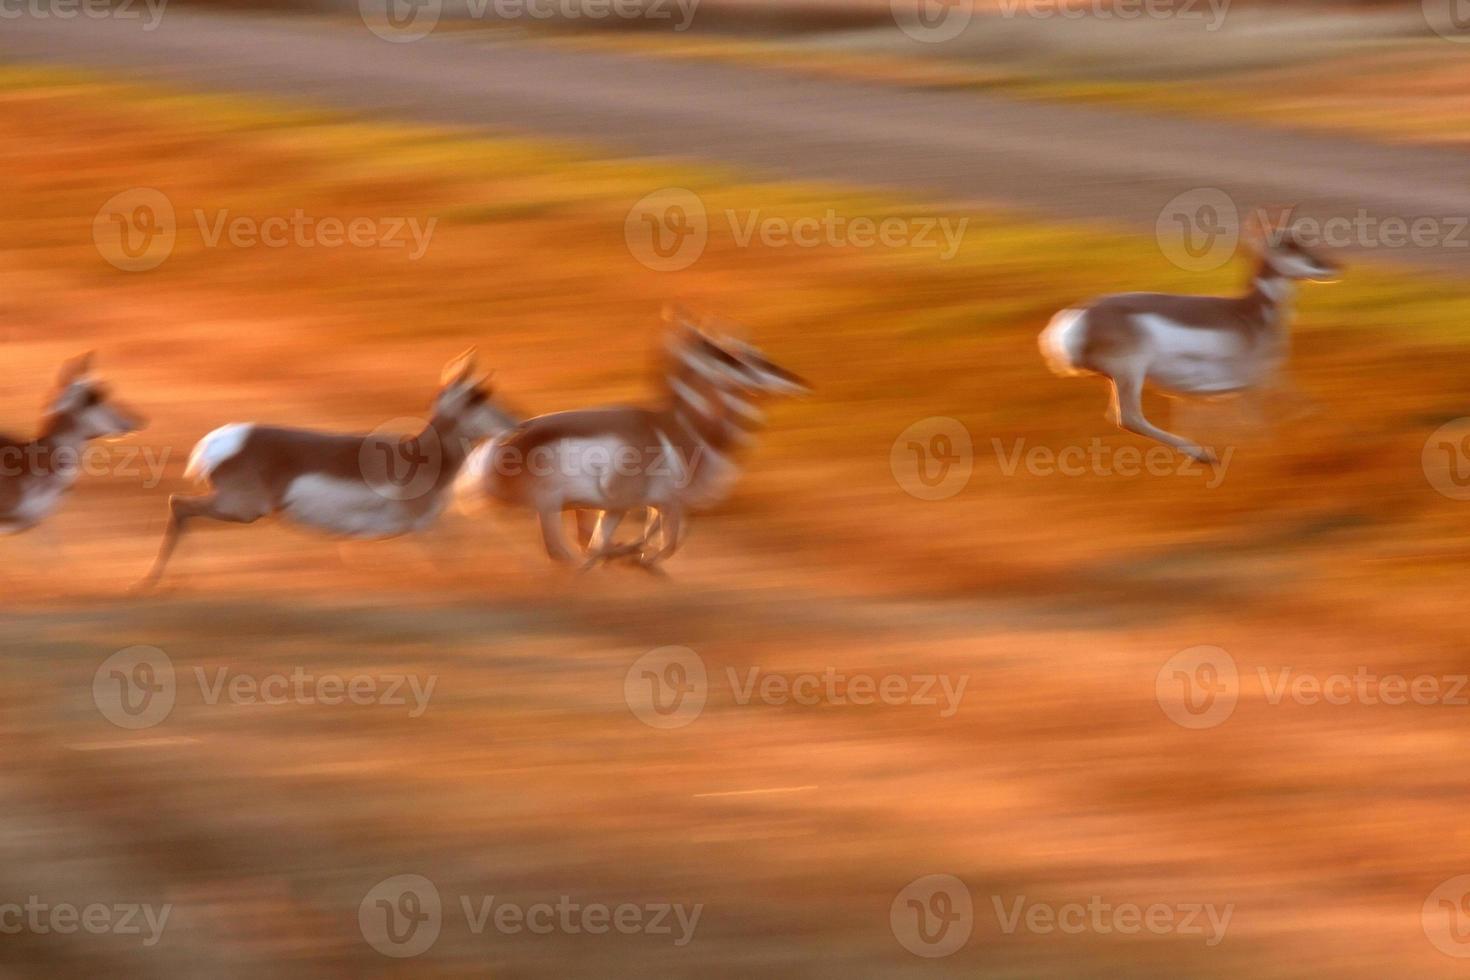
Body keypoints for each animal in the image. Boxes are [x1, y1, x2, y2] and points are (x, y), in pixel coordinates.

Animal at [136, 351, 517, 590]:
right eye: (478, 396)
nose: (514, 423)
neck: (420, 455)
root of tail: (224, 439)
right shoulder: (424, 528)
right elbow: (453, 559)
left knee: (180, 507)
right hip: (241, 509)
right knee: (179, 504)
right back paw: (157, 580)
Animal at [461, 310, 811, 570]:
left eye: (749, 355)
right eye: (733, 357)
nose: (800, 383)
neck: (680, 428)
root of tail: (494, 446)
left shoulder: (650, 506)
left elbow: (641, 544)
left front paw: (631, 559)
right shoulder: (662, 504)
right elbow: (662, 545)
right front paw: (633, 560)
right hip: (546, 506)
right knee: (555, 549)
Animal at [1040, 224, 1340, 461]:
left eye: (1307, 237)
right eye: (1289, 243)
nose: (1332, 266)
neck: (1247, 313)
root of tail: (1079, 315)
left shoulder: (1199, 395)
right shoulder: (1255, 384)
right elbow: (1275, 417)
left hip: (1116, 377)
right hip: (1131, 373)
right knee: (1129, 418)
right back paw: (1204, 456)